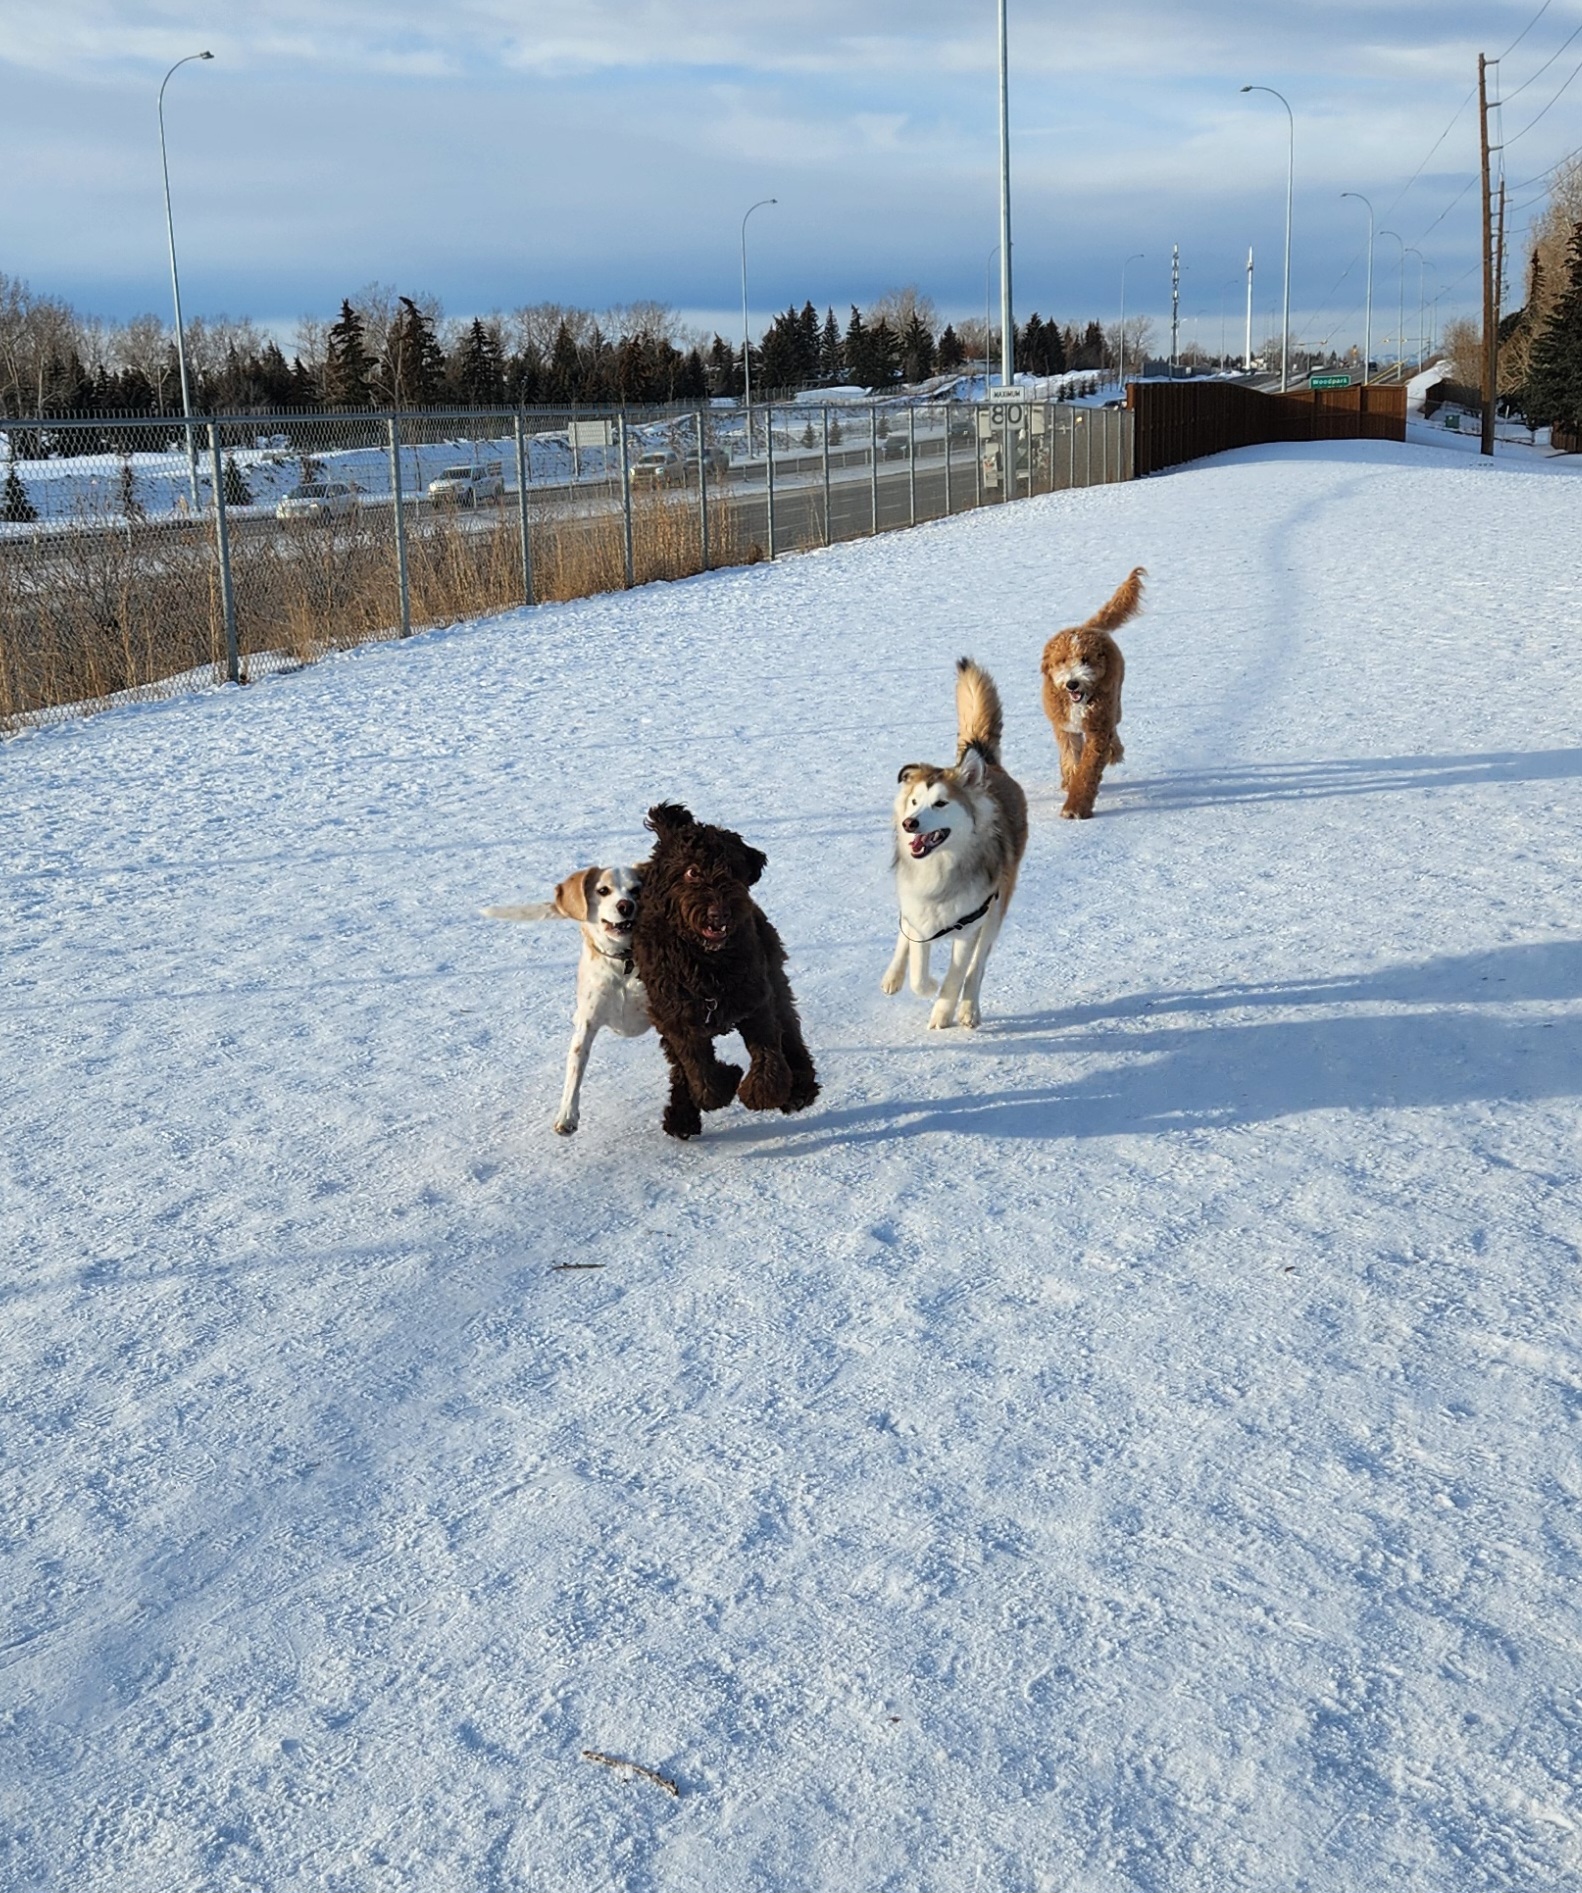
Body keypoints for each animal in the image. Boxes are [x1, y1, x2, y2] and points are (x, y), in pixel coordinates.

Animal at [484, 865, 649, 1135]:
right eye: (603, 891)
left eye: (636, 889)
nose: (626, 905)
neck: (624, 961)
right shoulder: (587, 1025)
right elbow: (574, 1072)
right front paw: (567, 1115)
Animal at [632, 803, 819, 1141]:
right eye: (692, 871)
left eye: (733, 869)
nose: (719, 912)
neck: (707, 962)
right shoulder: (677, 1019)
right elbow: (702, 1077)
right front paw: (728, 1078)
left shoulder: (756, 1000)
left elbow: (769, 1055)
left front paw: (759, 1092)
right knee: (679, 1069)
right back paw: (682, 1116)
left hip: (773, 971)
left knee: (790, 1027)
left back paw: (801, 1087)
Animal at [883, 658, 1028, 1030]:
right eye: (914, 801)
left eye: (941, 804)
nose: (909, 823)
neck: (940, 869)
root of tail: (987, 763)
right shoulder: (919, 917)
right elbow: (918, 970)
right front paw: (922, 983)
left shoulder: (969, 926)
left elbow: (958, 974)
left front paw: (942, 1011)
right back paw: (892, 976)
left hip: (996, 911)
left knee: (977, 969)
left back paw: (968, 1009)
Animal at [1039, 566, 1146, 819]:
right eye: (1062, 661)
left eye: (1086, 660)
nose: (1072, 684)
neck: (1080, 702)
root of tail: (1090, 627)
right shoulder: (1065, 729)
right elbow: (1071, 760)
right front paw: (1070, 782)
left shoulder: (1097, 729)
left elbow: (1087, 771)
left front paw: (1075, 807)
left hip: (1115, 702)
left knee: (1114, 729)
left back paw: (1114, 750)